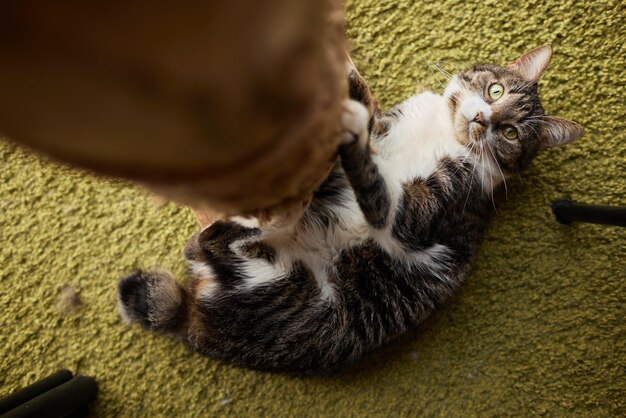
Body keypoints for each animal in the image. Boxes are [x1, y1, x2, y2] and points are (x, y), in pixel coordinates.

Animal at [118, 47, 580, 374]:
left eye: (510, 132)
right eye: (494, 90)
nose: (483, 120)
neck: (443, 133)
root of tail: (192, 319)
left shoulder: (428, 210)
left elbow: (374, 181)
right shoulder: (386, 125)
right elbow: (366, 111)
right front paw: (344, 75)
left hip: (283, 287)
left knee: (211, 244)